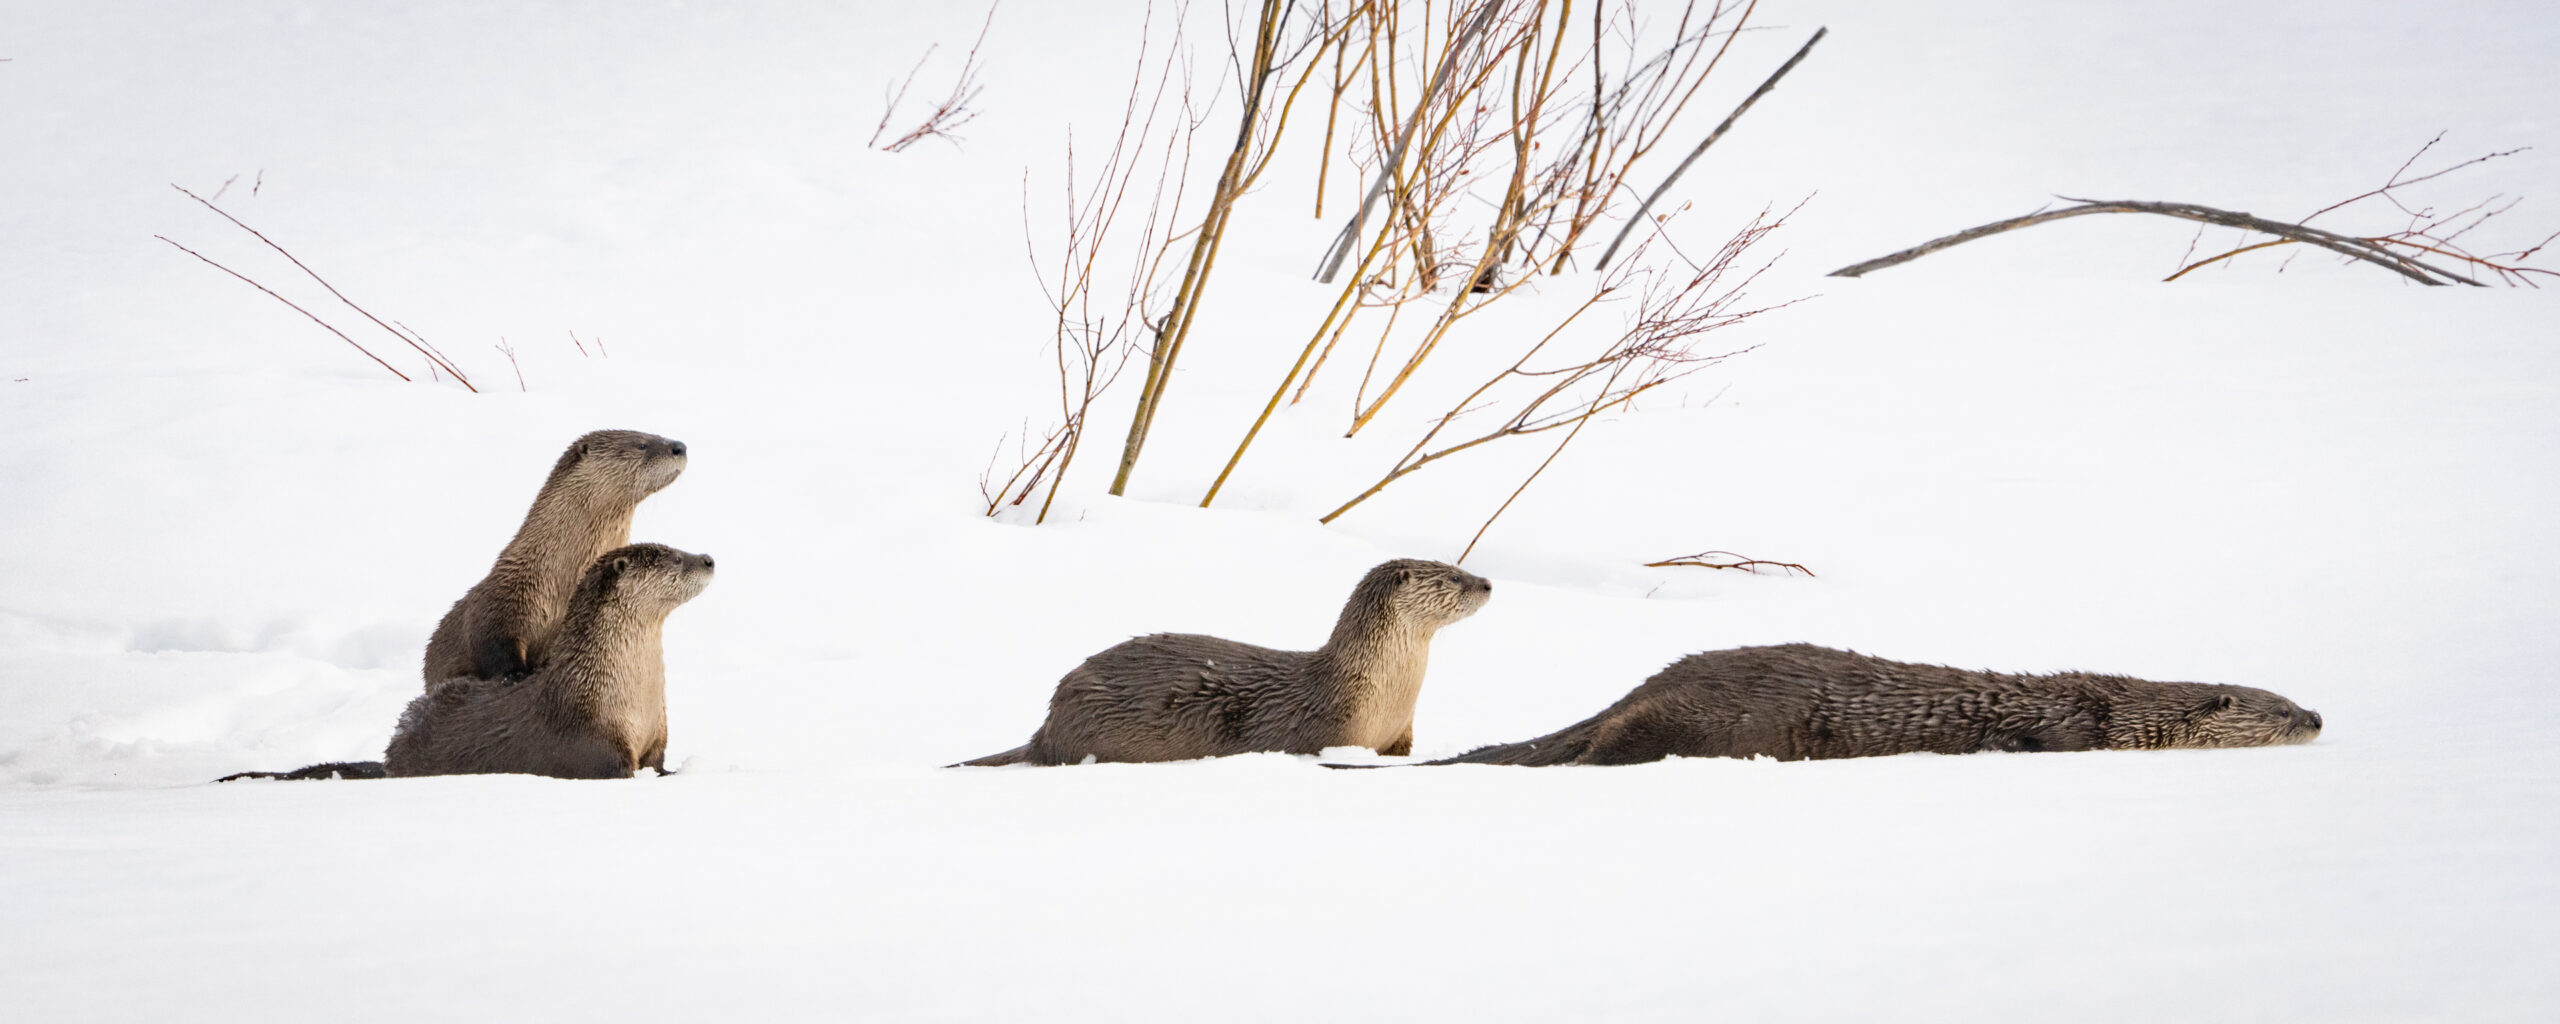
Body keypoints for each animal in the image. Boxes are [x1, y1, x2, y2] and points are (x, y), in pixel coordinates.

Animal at [424, 427, 696, 686]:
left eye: (656, 434)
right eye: (641, 444)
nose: (679, 446)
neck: (557, 581)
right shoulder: (497, 607)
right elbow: (492, 647)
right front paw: (514, 675)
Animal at [952, 560, 1495, 768]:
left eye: (1462, 567)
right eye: (1452, 577)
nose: (1488, 582)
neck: (1381, 691)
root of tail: (1046, 729)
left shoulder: (1402, 734)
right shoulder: (1331, 730)